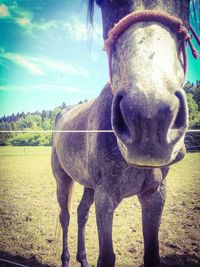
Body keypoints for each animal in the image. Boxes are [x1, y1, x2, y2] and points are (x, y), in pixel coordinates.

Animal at [51, 0, 198, 267]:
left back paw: (82, 259)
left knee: (81, 213)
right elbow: (107, 256)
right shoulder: (106, 197)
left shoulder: (154, 195)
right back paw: (66, 259)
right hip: (63, 180)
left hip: (88, 185)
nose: (149, 118)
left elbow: (152, 255)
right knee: (65, 216)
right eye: (102, 4)